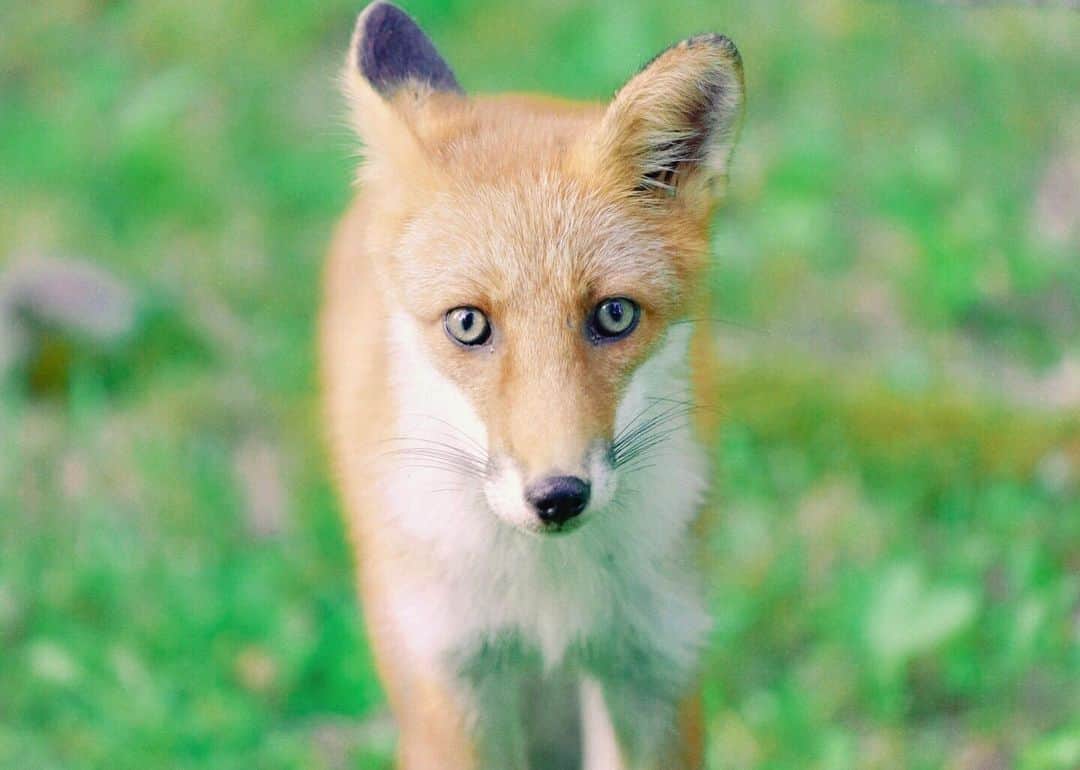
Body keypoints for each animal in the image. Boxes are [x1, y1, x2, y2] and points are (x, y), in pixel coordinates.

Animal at [319, 2, 744, 768]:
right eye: (467, 324)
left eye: (613, 315)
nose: (558, 497)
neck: (549, 595)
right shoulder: (451, 678)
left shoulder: (656, 665)